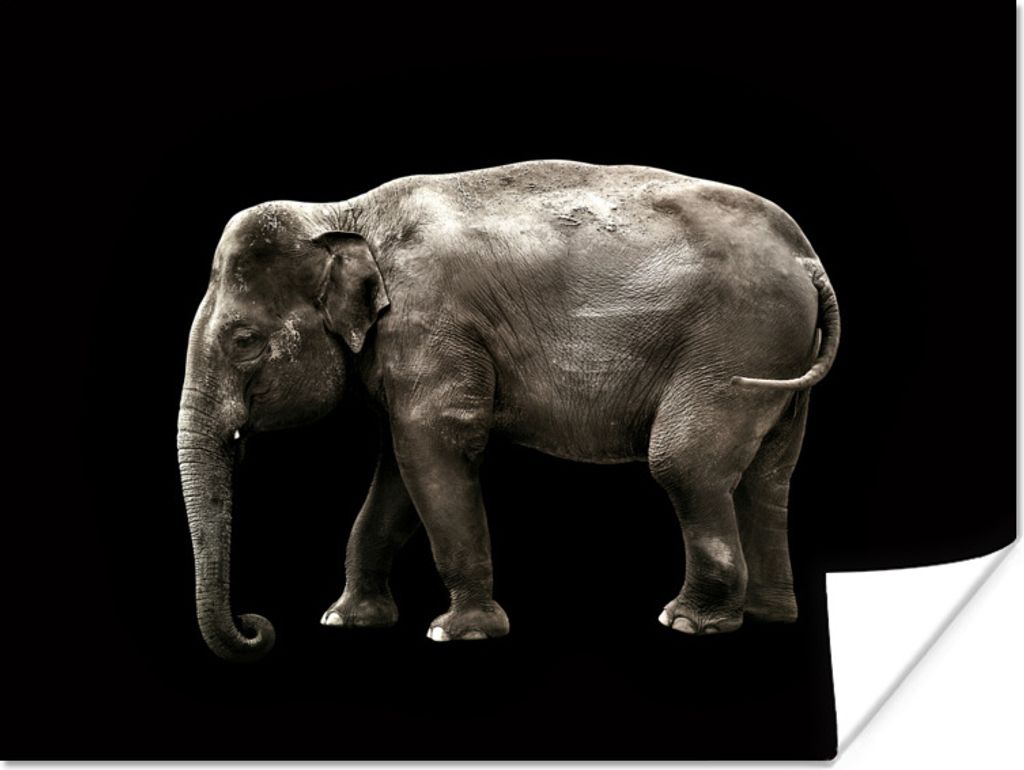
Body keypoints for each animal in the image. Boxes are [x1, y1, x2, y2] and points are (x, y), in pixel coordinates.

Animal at [177, 160, 840, 662]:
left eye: (243, 340)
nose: (257, 625)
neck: (344, 214)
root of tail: (807, 259)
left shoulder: (432, 326)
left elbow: (431, 450)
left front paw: (457, 633)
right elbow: (398, 470)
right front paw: (347, 620)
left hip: (737, 343)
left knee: (685, 464)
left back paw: (689, 623)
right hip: (779, 358)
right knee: (769, 475)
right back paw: (768, 616)